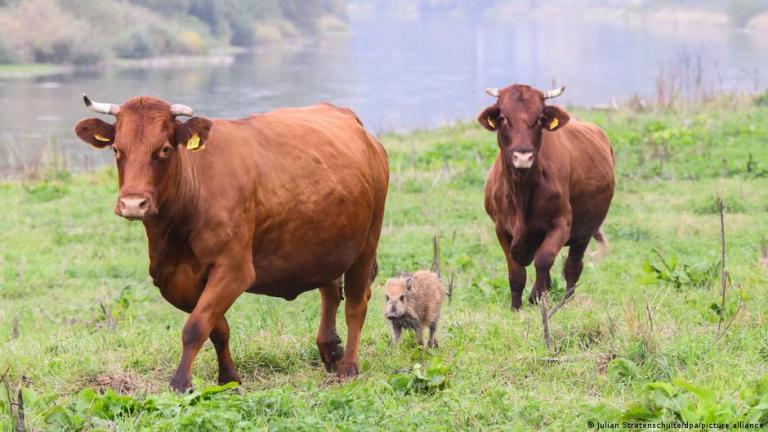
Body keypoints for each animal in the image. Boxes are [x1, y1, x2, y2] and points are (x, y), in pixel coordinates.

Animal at [73, 94, 390, 392]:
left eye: (164, 149)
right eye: (117, 149)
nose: (133, 203)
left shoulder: (234, 268)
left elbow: (195, 326)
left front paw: (181, 383)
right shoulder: (172, 277)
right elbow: (217, 328)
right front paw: (228, 378)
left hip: (367, 243)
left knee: (356, 304)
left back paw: (348, 367)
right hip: (325, 244)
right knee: (330, 288)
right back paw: (330, 348)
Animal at [476, 82, 616, 308]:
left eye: (540, 117)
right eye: (503, 117)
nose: (523, 156)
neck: (521, 192)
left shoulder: (561, 223)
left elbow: (544, 260)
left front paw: (536, 297)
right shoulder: (501, 228)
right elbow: (516, 272)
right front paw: (516, 307)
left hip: (585, 231)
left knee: (573, 266)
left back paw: (565, 300)